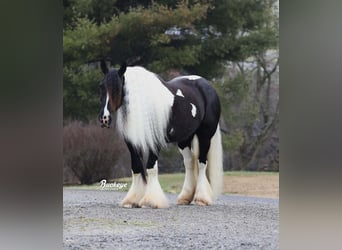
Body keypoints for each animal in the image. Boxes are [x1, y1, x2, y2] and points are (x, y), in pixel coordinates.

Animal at [97, 61, 223, 209]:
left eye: (117, 88)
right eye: (101, 85)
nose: (104, 119)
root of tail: (207, 86)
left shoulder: (155, 142)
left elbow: (151, 167)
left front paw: (151, 201)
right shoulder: (132, 143)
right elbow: (136, 168)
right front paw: (132, 200)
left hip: (205, 136)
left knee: (202, 163)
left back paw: (201, 199)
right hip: (184, 139)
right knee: (189, 163)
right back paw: (185, 198)